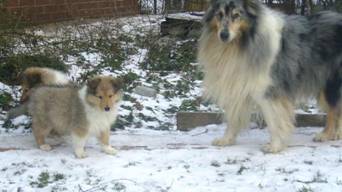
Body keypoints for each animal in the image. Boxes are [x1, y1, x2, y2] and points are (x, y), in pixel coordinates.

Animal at [198, 0, 342, 153]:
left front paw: (275, 146)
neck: (242, 43)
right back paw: (333, 134)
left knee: (334, 110)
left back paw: (327, 135)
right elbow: (232, 118)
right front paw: (226, 140)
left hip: (331, 83)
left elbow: (274, 121)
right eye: (219, 14)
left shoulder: (268, 91)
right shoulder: (237, 86)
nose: (223, 35)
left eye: (236, 15)